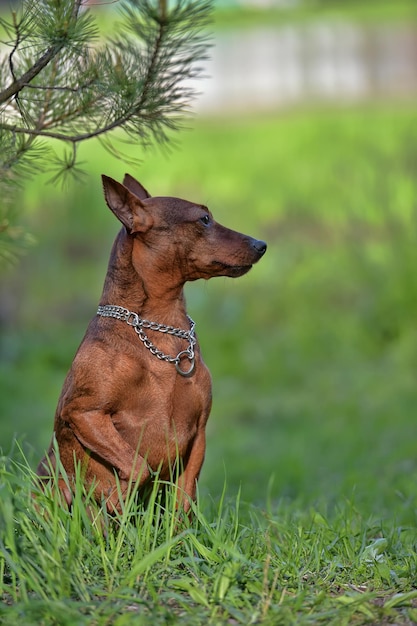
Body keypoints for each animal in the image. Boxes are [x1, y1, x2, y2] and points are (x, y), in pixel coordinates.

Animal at [36, 172, 266, 512]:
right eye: (204, 219)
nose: (261, 244)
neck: (160, 330)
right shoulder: (83, 414)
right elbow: (137, 468)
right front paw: (119, 498)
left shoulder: (199, 435)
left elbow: (182, 502)